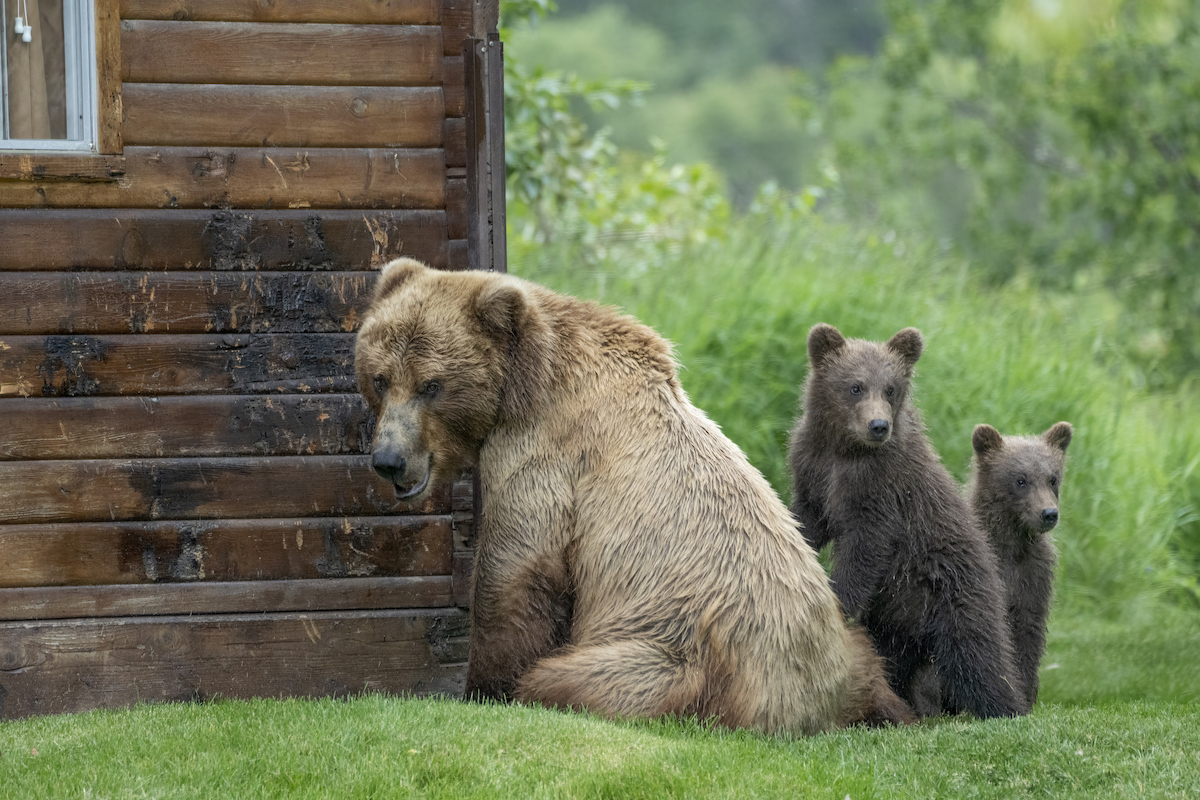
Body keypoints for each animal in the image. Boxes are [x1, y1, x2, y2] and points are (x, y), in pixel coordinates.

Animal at [350, 260, 912, 734]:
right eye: (380, 378)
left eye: (431, 385)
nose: (389, 459)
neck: (526, 386)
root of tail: (807, 707)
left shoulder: (546, 454)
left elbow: (516, 569)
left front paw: (484, 687)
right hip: (839, 644)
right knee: (869, 656)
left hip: (677, 651)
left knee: (574, 679)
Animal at [787, 323, 1022, 719]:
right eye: (855, 386)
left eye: (891, 388)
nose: (878, 426)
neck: (845, 449)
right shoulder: (813, 470)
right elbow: (808, 522)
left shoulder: (881, 490)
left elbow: (867, 546)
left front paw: (839, 602)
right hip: (895, 616)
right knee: (898, 660)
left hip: (953, 592)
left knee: (978, 657)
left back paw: (1004, 707)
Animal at [969, 422, 1075, 710]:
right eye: (1020, 480)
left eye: (1052, 478)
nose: (1048, 514)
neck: (1012, 545)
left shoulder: (1033, 574)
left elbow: (1029, 632)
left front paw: (1026, 695)